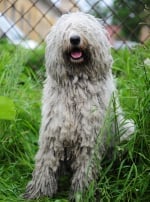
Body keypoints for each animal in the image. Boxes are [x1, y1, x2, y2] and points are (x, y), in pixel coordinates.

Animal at [23, 11, 135, 200]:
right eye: (66, 29)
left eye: (85, 29)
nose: (74, 38)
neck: (77, 83)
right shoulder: (53, 133)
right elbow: (45, 164)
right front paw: (38, 192)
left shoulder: (90, 139)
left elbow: (85, 171)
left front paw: (81, 194)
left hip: (126, 129)